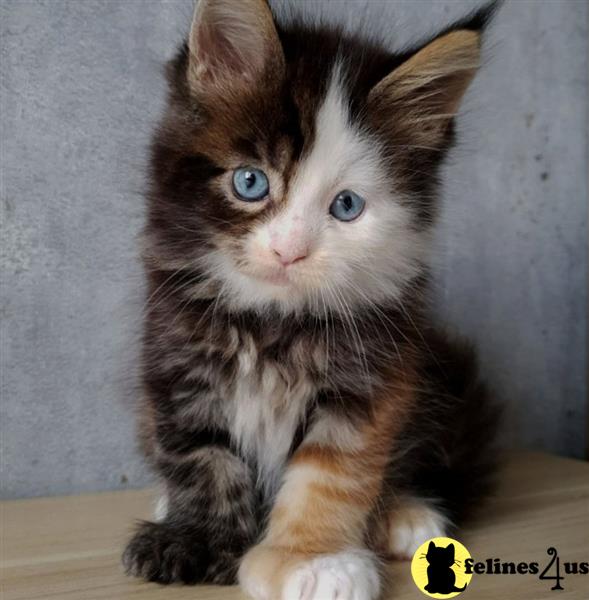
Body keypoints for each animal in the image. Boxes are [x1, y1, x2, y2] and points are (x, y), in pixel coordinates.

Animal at [121, 1, 498, 600]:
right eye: (251, 183)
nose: (289, 251)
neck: (272, 323)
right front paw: (198, 538)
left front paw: (313, 562)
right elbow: (201, 458)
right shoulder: (175, 361)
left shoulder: (373, 380)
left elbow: (332, 472)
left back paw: (407, 514)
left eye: (346, 206)